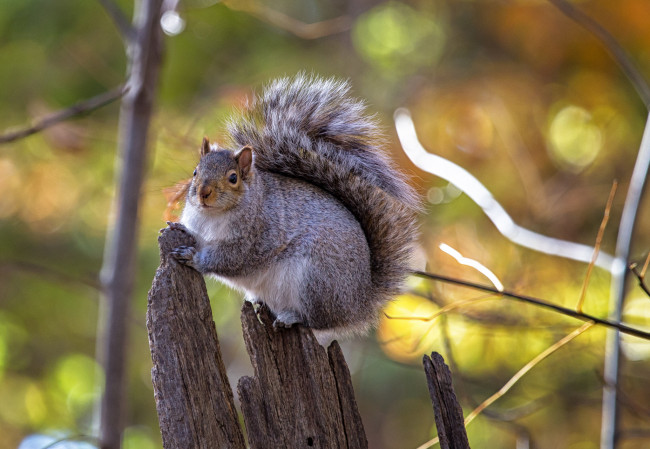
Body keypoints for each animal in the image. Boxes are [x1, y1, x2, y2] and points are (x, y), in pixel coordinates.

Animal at [170, 75, 418, 342]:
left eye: (233, 178)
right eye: (195, 172)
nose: (203, 193)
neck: (211, 215)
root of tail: (358, 304)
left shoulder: (257, 237)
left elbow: (231, 258)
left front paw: (193, 257)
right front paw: (177, 228)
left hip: (315, 280)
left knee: (316, 320)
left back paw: (291, 317)